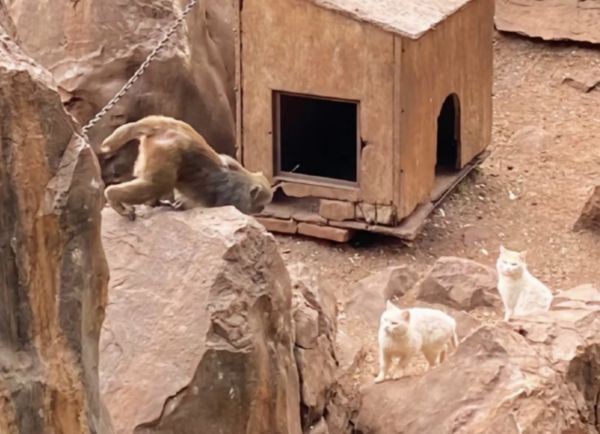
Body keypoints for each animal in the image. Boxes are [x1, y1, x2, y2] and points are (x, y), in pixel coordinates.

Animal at [99, 114, 274, 219]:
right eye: (261, 204)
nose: (261, 210)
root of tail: (160, 126)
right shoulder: (235, 200)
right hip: (166, 150)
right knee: (158, 184)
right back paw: (114, 197)